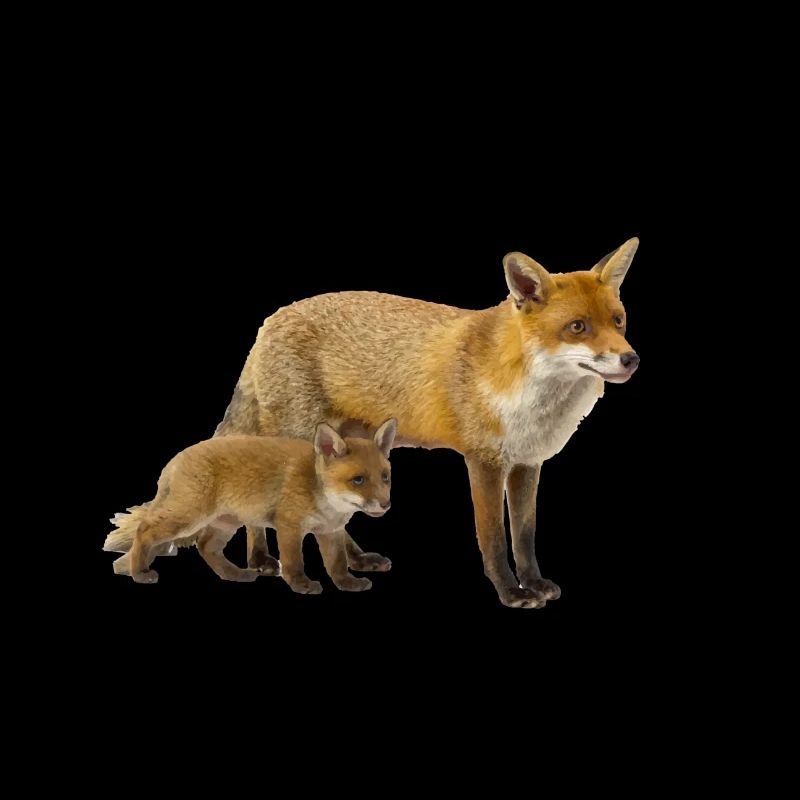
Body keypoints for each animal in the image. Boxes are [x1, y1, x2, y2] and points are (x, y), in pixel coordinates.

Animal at [103, 419, 397, 592]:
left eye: (385, 477)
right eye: (358, 480)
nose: (386, 504)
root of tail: (175, 459)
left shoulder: (330, 531)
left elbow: (337, 564)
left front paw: (347, 584)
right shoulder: (288, 527)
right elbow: (293, 562)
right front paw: (301, 584)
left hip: (226, 523)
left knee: (206, 547)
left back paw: (235, 575)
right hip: (188, 517)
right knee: (144, 530)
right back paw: (139, 572)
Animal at [164, 238, 639, 609]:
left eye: (618, 321)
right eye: (577, 327)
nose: (631, 359)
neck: (524, 388)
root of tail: (270, 319)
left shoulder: (526, 463)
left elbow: (524, 535)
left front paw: (534, 582)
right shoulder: (483, 460)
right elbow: (493, 537)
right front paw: (510, 592)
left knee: (332, 518)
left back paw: (351, 561)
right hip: (298, 436)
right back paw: (263, 561)